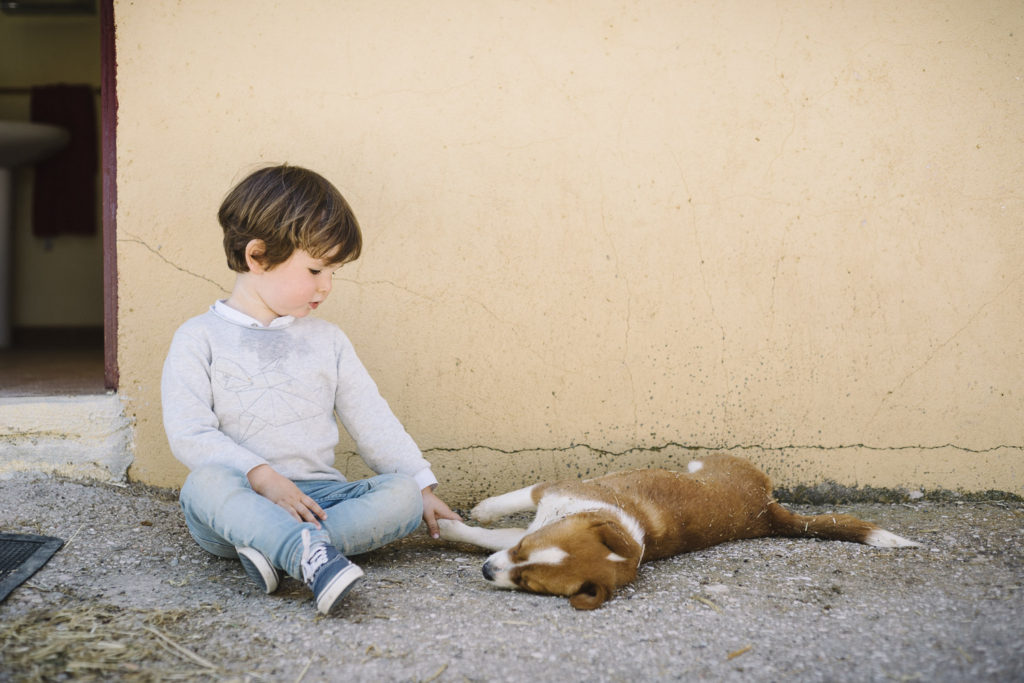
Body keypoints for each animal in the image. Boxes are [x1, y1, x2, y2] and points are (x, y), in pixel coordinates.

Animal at [440, 454, 921, 610]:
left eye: (528, 583)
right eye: (525, 547)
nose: (485, 572)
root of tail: (766, 511)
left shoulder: (547, 500)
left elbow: (489, 527)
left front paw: (451, 522)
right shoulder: (546, 498)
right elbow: (505, 507)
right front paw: (475, 513)